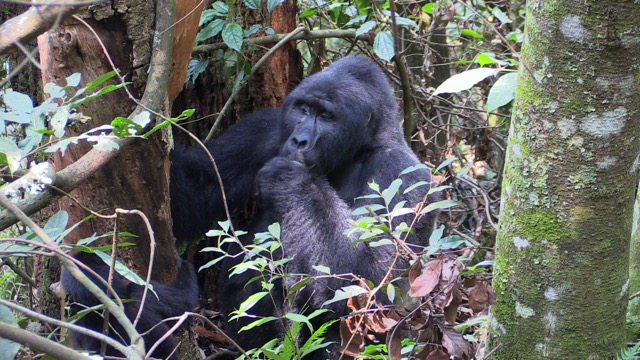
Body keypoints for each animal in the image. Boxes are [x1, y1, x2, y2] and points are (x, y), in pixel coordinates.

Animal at [170, 55, 440, 358]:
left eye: (326, 116)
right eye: (303, 109)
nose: (299, 140)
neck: (361, 147)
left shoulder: (401, 171)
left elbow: (372, 282)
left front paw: (292, 180)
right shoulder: (265, 128)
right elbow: (196, 187)